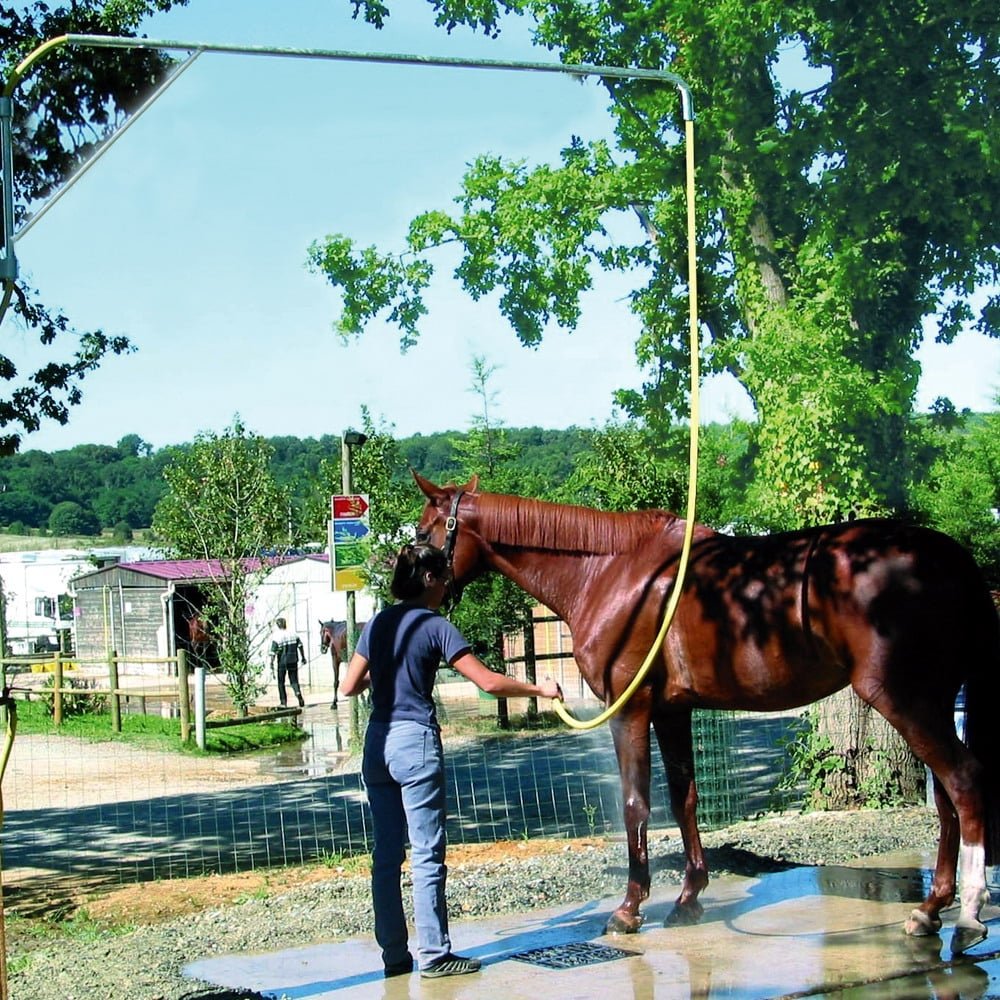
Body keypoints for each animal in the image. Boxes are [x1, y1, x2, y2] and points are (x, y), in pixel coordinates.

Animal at [414, 472, 1000, 956]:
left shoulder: (631, 710)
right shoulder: (673, 712)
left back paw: (969, 914)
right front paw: (688, 899)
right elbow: (684, 799)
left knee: (966, 781)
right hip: (932, 703)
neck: (610, 572)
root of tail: (954, 559)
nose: (407, 594)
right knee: (946, 799)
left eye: (422, 535)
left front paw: (628, 910)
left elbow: (636, 805)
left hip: (903, 700)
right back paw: (930, 910)